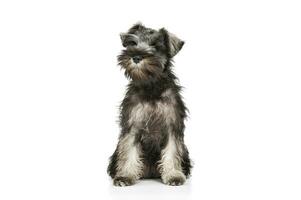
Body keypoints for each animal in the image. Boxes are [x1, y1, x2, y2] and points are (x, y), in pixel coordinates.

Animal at [106, 23, 190, 186]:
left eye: (155, 46)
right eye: (133, 43)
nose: (136, 57)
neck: (151, 86)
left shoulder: (172, 126)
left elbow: (172, 151)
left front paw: (174, 175)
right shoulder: (133, 125)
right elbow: (129, 151)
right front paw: (125, 176)